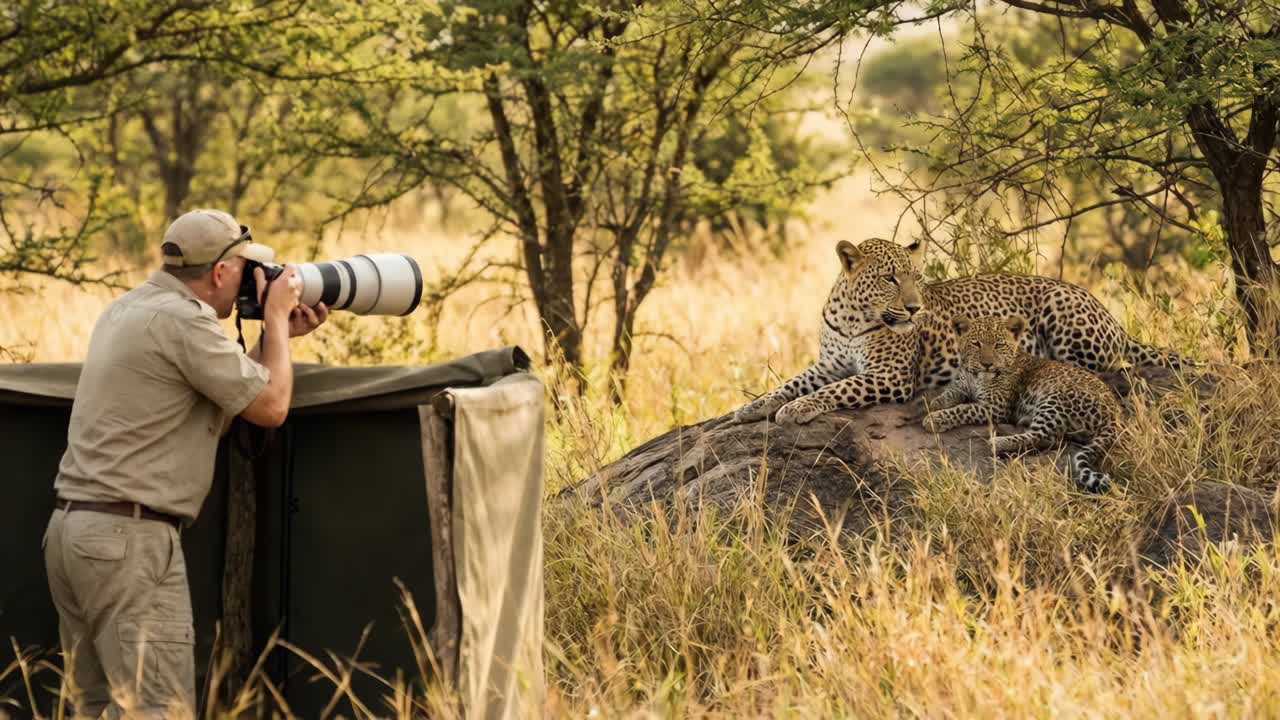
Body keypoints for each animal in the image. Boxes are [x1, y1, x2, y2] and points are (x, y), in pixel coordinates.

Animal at [731, 237, 1189, 427]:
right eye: (890, 279)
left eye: (917, 278)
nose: (914, 308)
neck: (852, 317)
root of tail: (1112, 317)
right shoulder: (829, 363)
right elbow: (791, 383)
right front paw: (753, 408)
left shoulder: (889, 376)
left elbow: (834, 391)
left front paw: (797, 409)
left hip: (1064, 312)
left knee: (1100, 368)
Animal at [921, 315, 1123, 492]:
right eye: (976, 343)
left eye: (999, 345)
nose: (987, 364)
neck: (976, 375)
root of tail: (1114, 414)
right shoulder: (963, 384)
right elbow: (951, 393)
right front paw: (935, 404)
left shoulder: (996, 407)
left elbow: (963, 409)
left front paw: (934, 419)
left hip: (1054, 401)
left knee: (1044, 437)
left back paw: (997, 442)